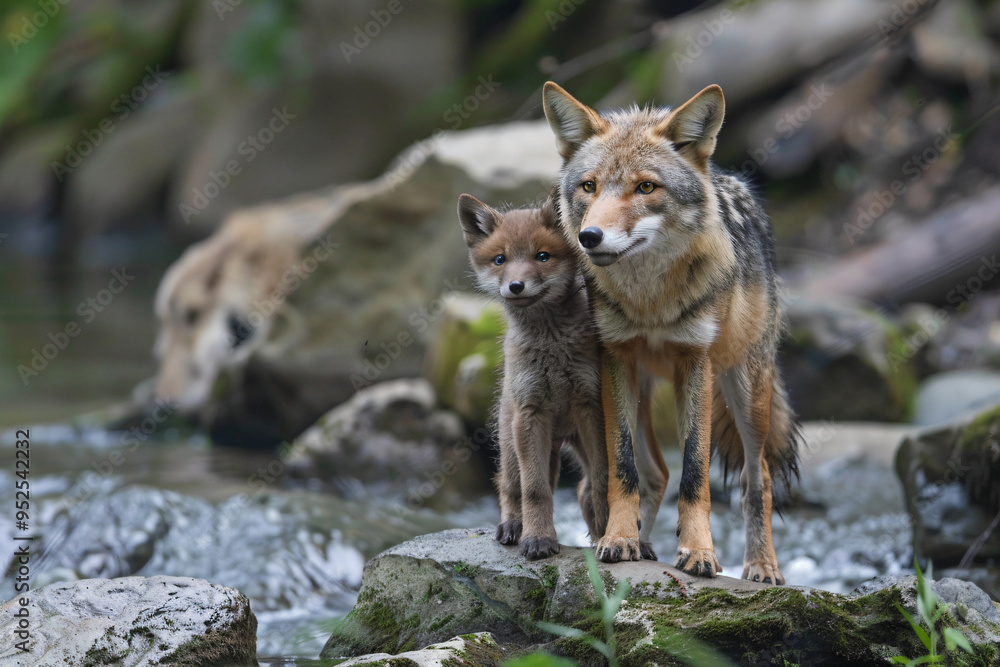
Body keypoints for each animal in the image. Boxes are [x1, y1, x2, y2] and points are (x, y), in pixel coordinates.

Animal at [458, 192, 667, 560]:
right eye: (500, 259)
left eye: (542, 256)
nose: (515, 286)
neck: (553, 352)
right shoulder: (531, 413)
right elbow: (536, 489)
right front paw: (539, 539)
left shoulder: (591, 408)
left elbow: (602, 482)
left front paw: (610, 539)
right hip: (515, 442)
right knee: (510, 486)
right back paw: (513, 526)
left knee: (584, 488)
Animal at [542, 82, 800, 584]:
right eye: (589, 186)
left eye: (646, 186)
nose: (590, 237)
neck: (651, 303)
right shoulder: (616, 359)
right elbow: (623, 468)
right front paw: (619, 539)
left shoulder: (696, 362)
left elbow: (695, 472)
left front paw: (698, 552)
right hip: (639, 390)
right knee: (650, 473)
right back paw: (636, 542)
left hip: (747, 392)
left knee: (755, 479)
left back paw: (761, 567)